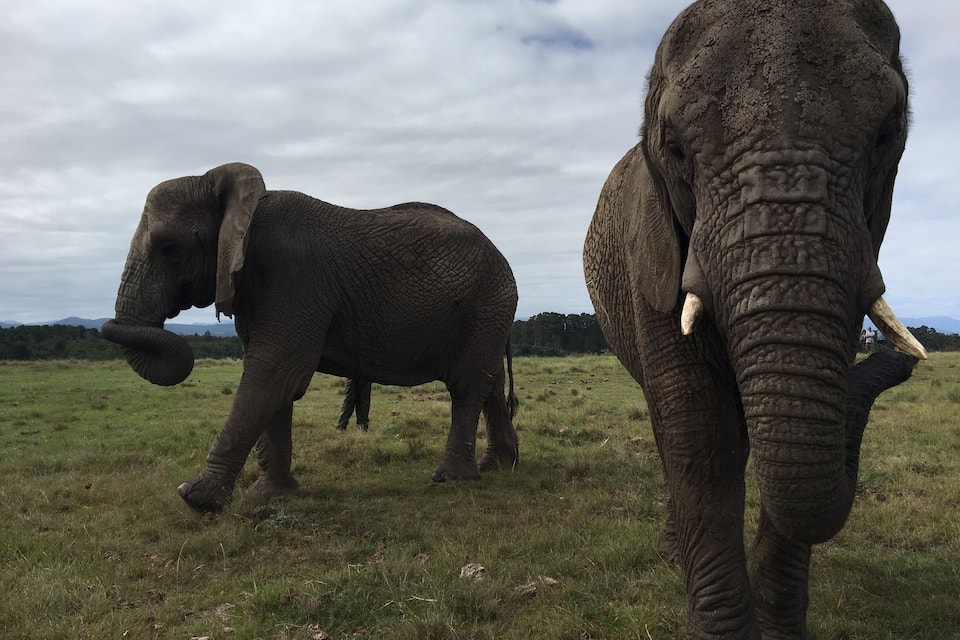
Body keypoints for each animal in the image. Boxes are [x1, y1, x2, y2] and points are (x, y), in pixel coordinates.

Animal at [102, 162, 520, 513]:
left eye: (169, 248)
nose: (102, 325)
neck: (245, 208)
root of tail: (502, 257)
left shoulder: (294, 278)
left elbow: (275, 372)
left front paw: (196, 498)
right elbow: (274, 382)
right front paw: (270, 494)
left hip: (487, 302)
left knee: (467, 383)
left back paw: (452, 479)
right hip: (489, 311)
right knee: (491, 380)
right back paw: (499, 466)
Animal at [583, 1, 927, 637]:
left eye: (886, 135)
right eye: (674, 149)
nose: (898, 359)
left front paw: (780, 631)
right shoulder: (652, 255)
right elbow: (699, 432)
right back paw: (672, 552)